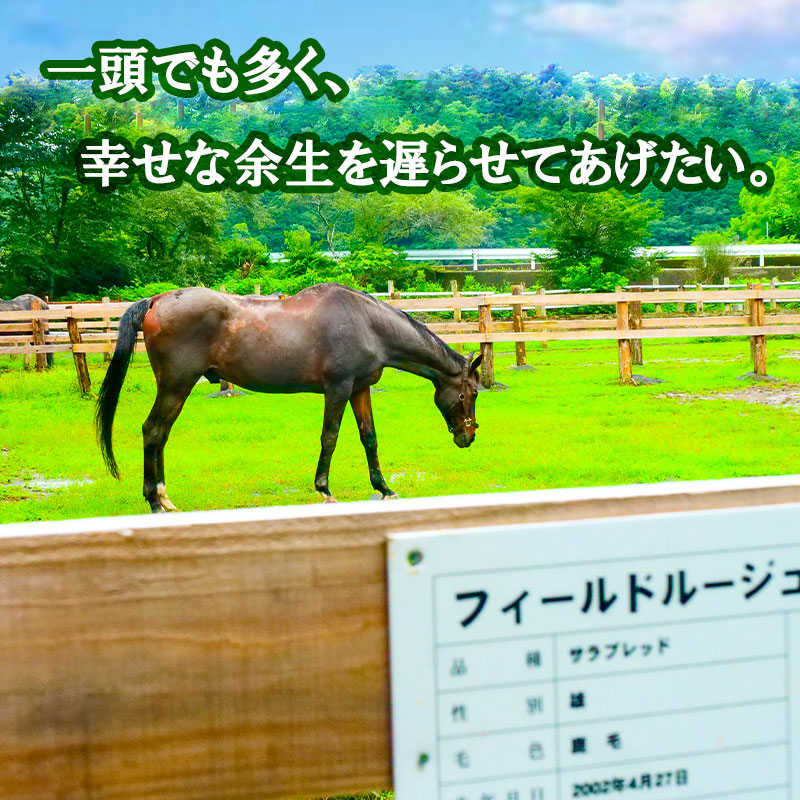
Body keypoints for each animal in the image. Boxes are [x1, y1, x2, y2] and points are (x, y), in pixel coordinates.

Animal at [96, 283, 482, 513]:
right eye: (471, 393)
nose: (468, 436)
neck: (366, 324)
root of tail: (157, 300)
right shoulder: (338, 388)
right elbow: (330, 437)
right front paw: (324, 489)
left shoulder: (359, 389)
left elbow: (369, 438)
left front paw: (384, 488)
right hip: (176, 385)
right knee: (153, 431)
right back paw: (154, 501)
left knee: (160, 435)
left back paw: (164, 498)